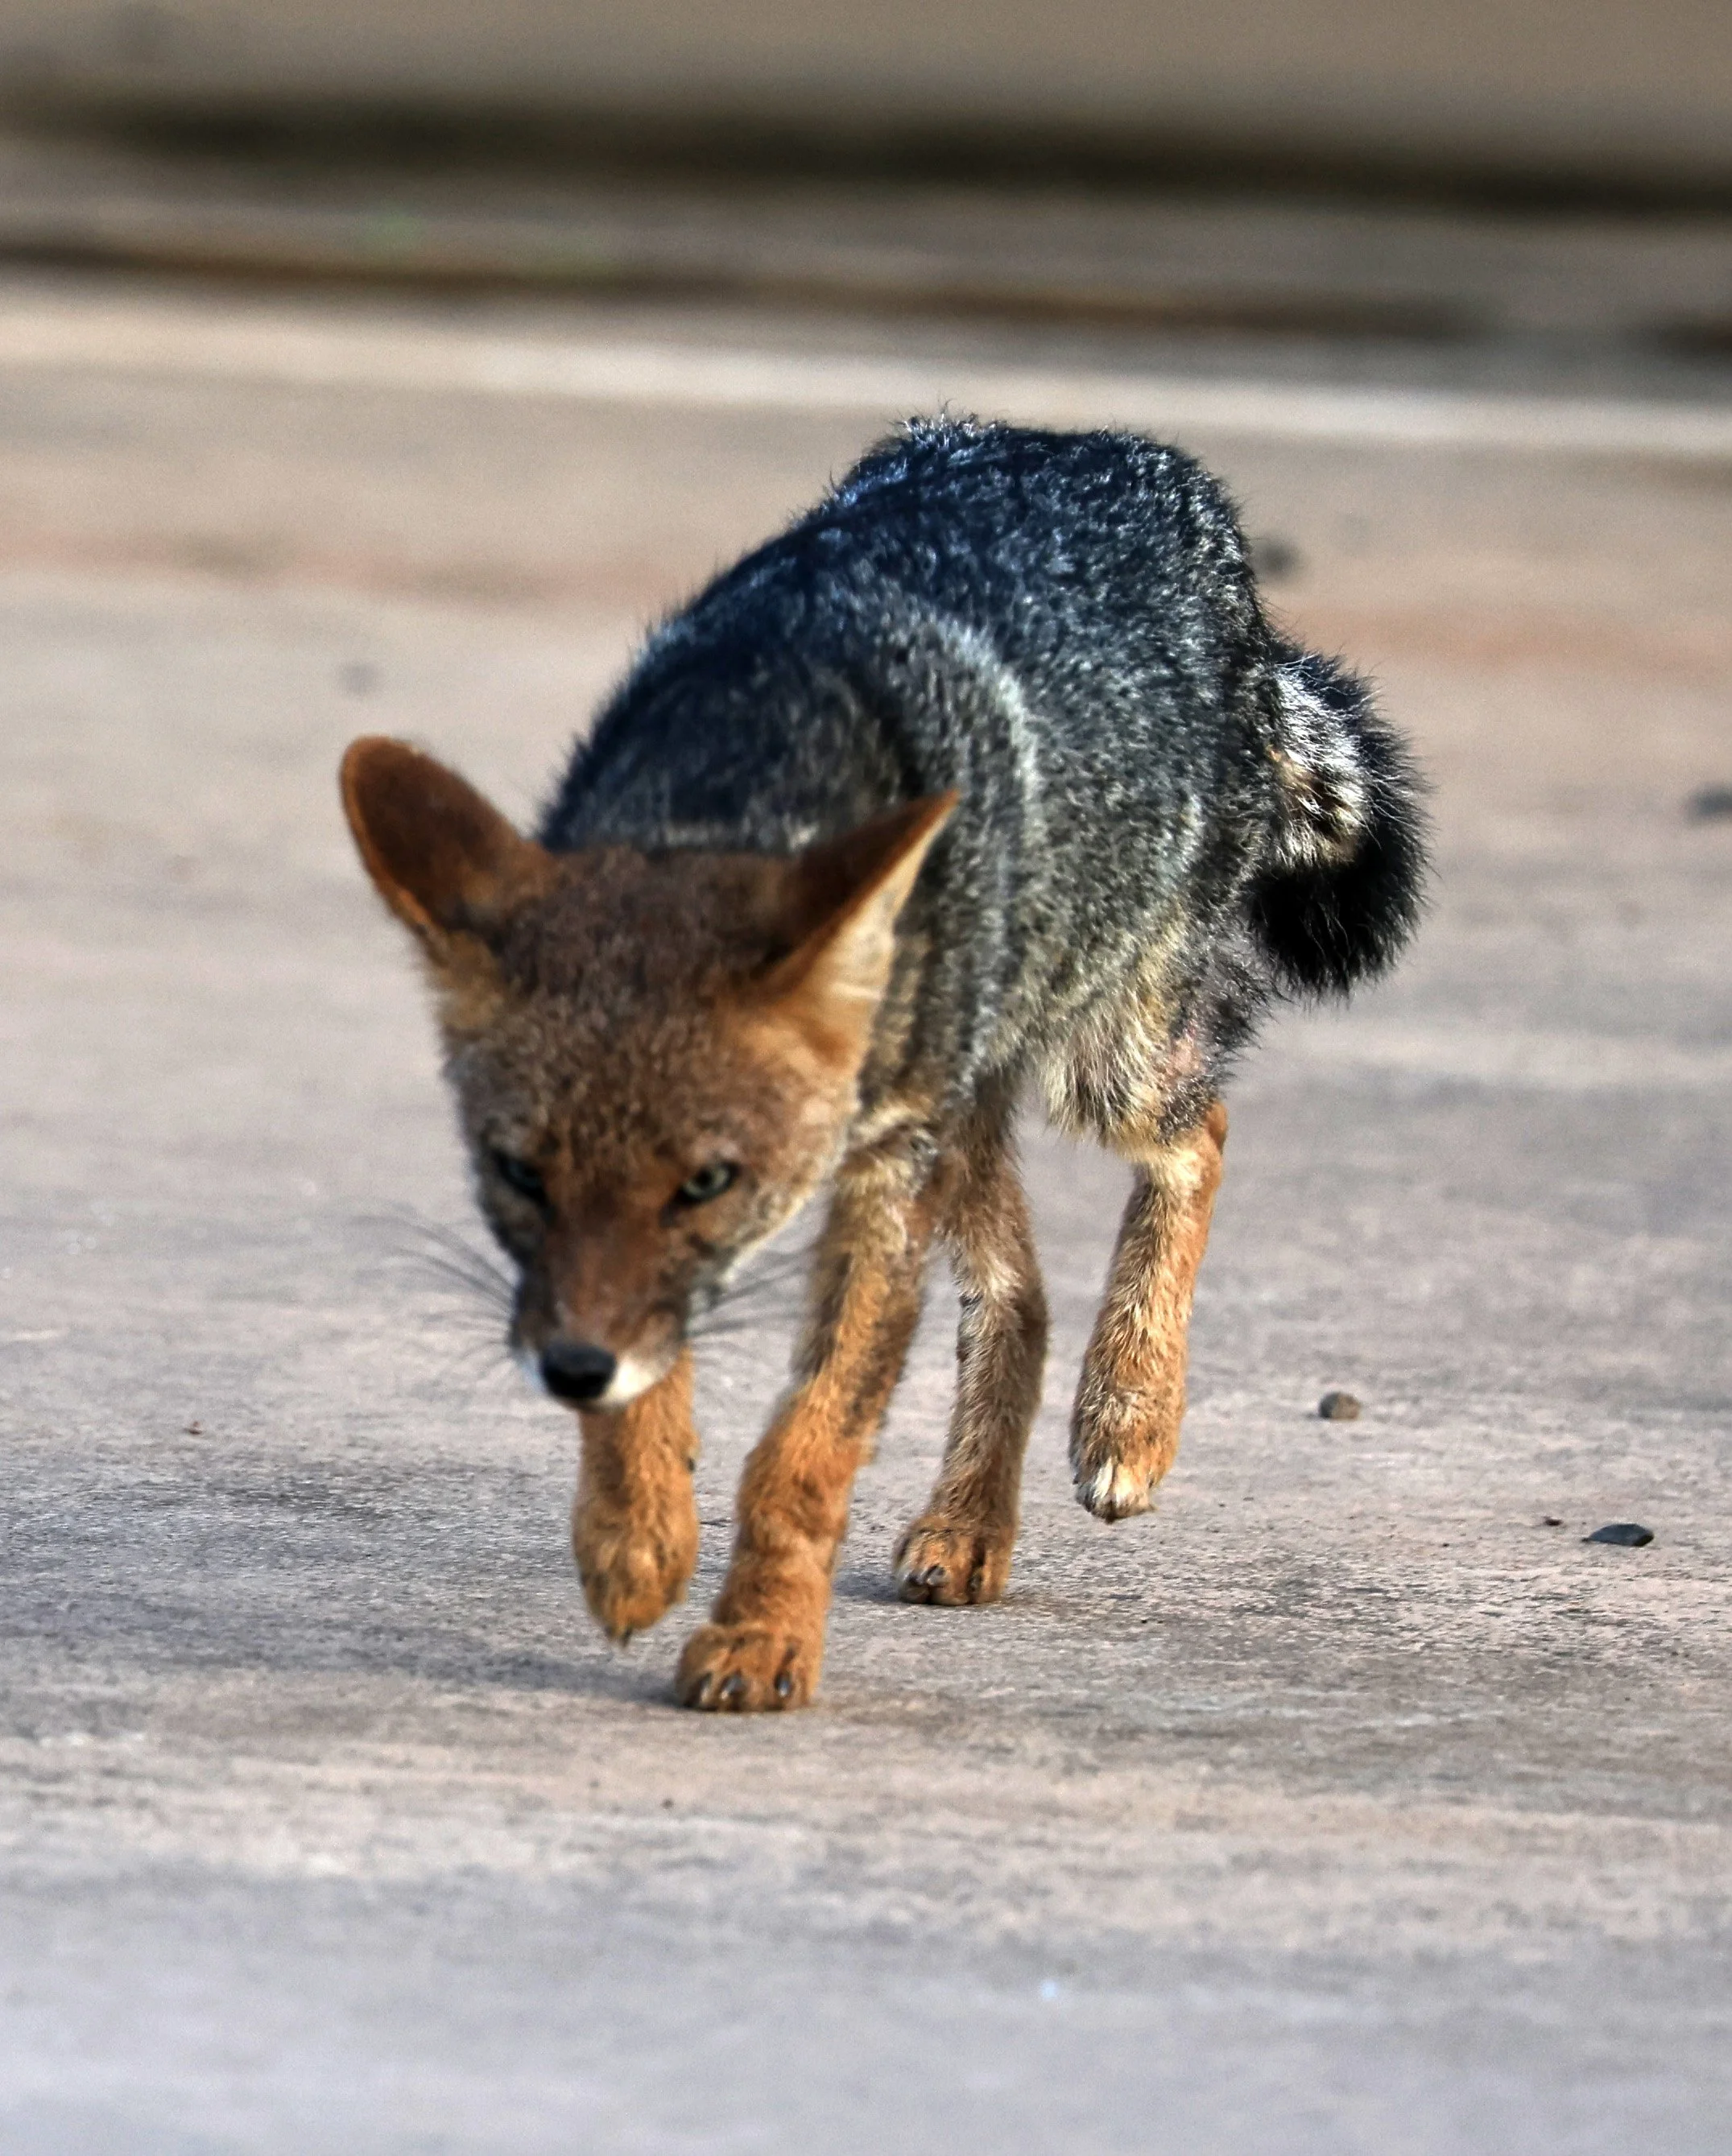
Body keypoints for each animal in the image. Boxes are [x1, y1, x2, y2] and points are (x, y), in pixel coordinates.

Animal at [341, 416, 1424, 1714]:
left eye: (708, 1180)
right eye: (517, 1173)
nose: (570, 1370)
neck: (746, 761)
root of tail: (1116, 447)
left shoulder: (879, 1180)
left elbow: (805, 1444)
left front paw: (760, 1639)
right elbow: (667, 1377)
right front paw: (632, 1535)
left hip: (1100, 1068)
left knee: (1196, 1140)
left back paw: (1127, 1414)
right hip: (970, 1104)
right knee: (1019, 1291)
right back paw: (971, 1524)